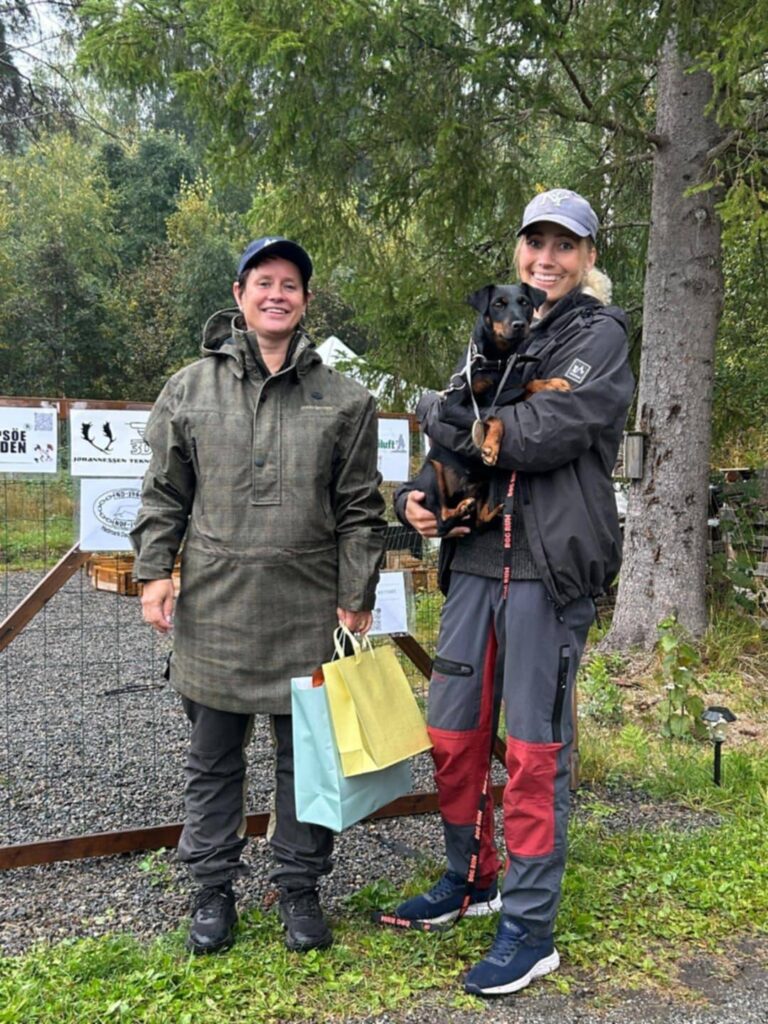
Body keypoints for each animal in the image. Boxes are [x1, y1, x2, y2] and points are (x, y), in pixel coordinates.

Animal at [410, 283, 571, 536]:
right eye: (498, 304)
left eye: (525, 302)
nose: (519, 325)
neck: (497, 360)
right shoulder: (451, 408)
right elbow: (492, 417)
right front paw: (490, 447)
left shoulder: (510, 393)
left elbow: (529, 385)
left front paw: (553, 383)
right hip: (432, 473)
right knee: (443, 520)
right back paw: (461, 508)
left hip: (484, 484)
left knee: (479, 520)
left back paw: (494, 510)